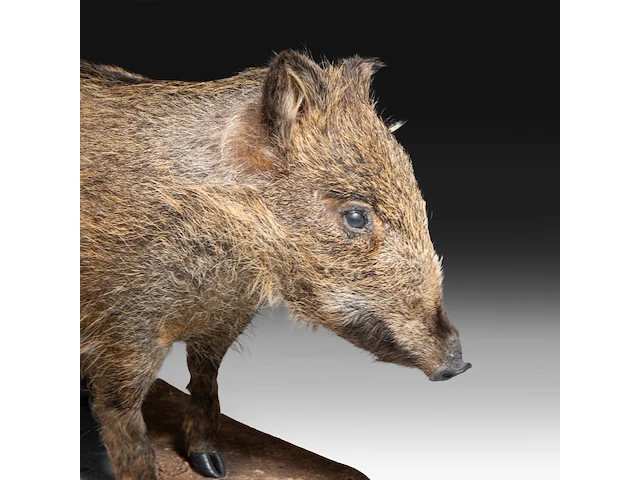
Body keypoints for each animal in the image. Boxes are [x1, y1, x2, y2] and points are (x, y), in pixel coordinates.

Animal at [80, 50, 471, 480]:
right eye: (356, 216)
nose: (458, 364)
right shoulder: (126, 331)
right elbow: (125, 422)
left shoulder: (225, 319)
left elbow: (206, 379)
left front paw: (212, 466)